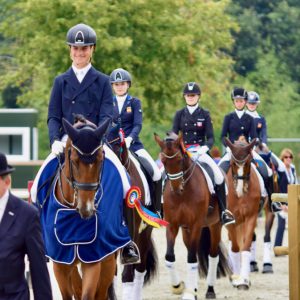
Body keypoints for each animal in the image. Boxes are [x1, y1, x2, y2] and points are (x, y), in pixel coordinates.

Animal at [35, 118, 131, 300]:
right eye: (73, 161)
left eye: (100, 161)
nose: (86, 209)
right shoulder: (61, 262)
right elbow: (72, 294)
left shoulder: (93, 258)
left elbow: (87, 295)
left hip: (108, 258)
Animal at [155, 132, 230, 300]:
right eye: (163, 161)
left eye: (180, 159)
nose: (177, 189)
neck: (183, 195)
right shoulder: (172, 224)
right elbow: (170, 256)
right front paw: (178, 287)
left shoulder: (196, 224)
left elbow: (191, 258)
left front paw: (189, 294)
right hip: (186, 229)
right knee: (193, 251)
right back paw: (193, 289)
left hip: (214, 225)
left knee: (212, 255)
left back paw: (210, 290)